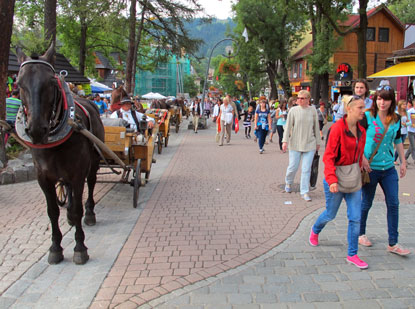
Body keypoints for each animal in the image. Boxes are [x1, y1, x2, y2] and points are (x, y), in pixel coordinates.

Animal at [17, 44, 105, 264]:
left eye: (50, 81)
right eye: (19, 83)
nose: (36, 129)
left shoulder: (78, 173)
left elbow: (78, 208)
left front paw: (80, 247)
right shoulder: (43, 177)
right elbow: (52, 211)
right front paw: (55, 247)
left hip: (93, 162)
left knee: (91, 185)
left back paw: (89, 213)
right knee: (67, 190)